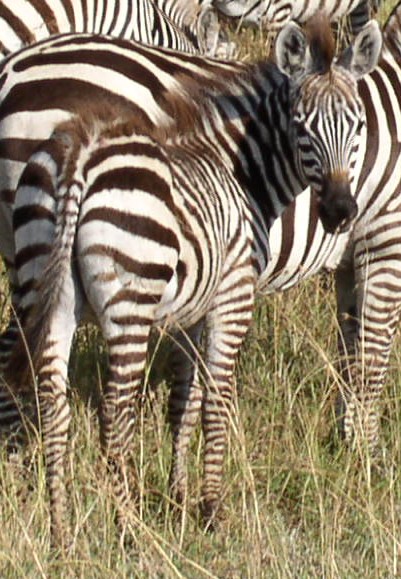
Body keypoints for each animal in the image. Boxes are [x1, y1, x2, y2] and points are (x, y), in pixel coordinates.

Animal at [7, 18, 380, 552]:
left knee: (54, 407)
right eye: (301, 126)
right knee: (114, 417)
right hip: (130, 301)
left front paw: (181, 498)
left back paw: (60, 534)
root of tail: (80, 153)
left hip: (44, 284)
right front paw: (212, 512)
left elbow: (184, 401)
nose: (339, 211)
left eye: (358, 125)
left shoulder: (192, 308)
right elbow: (217, 401)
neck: (240, 171)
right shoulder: (233, 295)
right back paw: (129, 530)